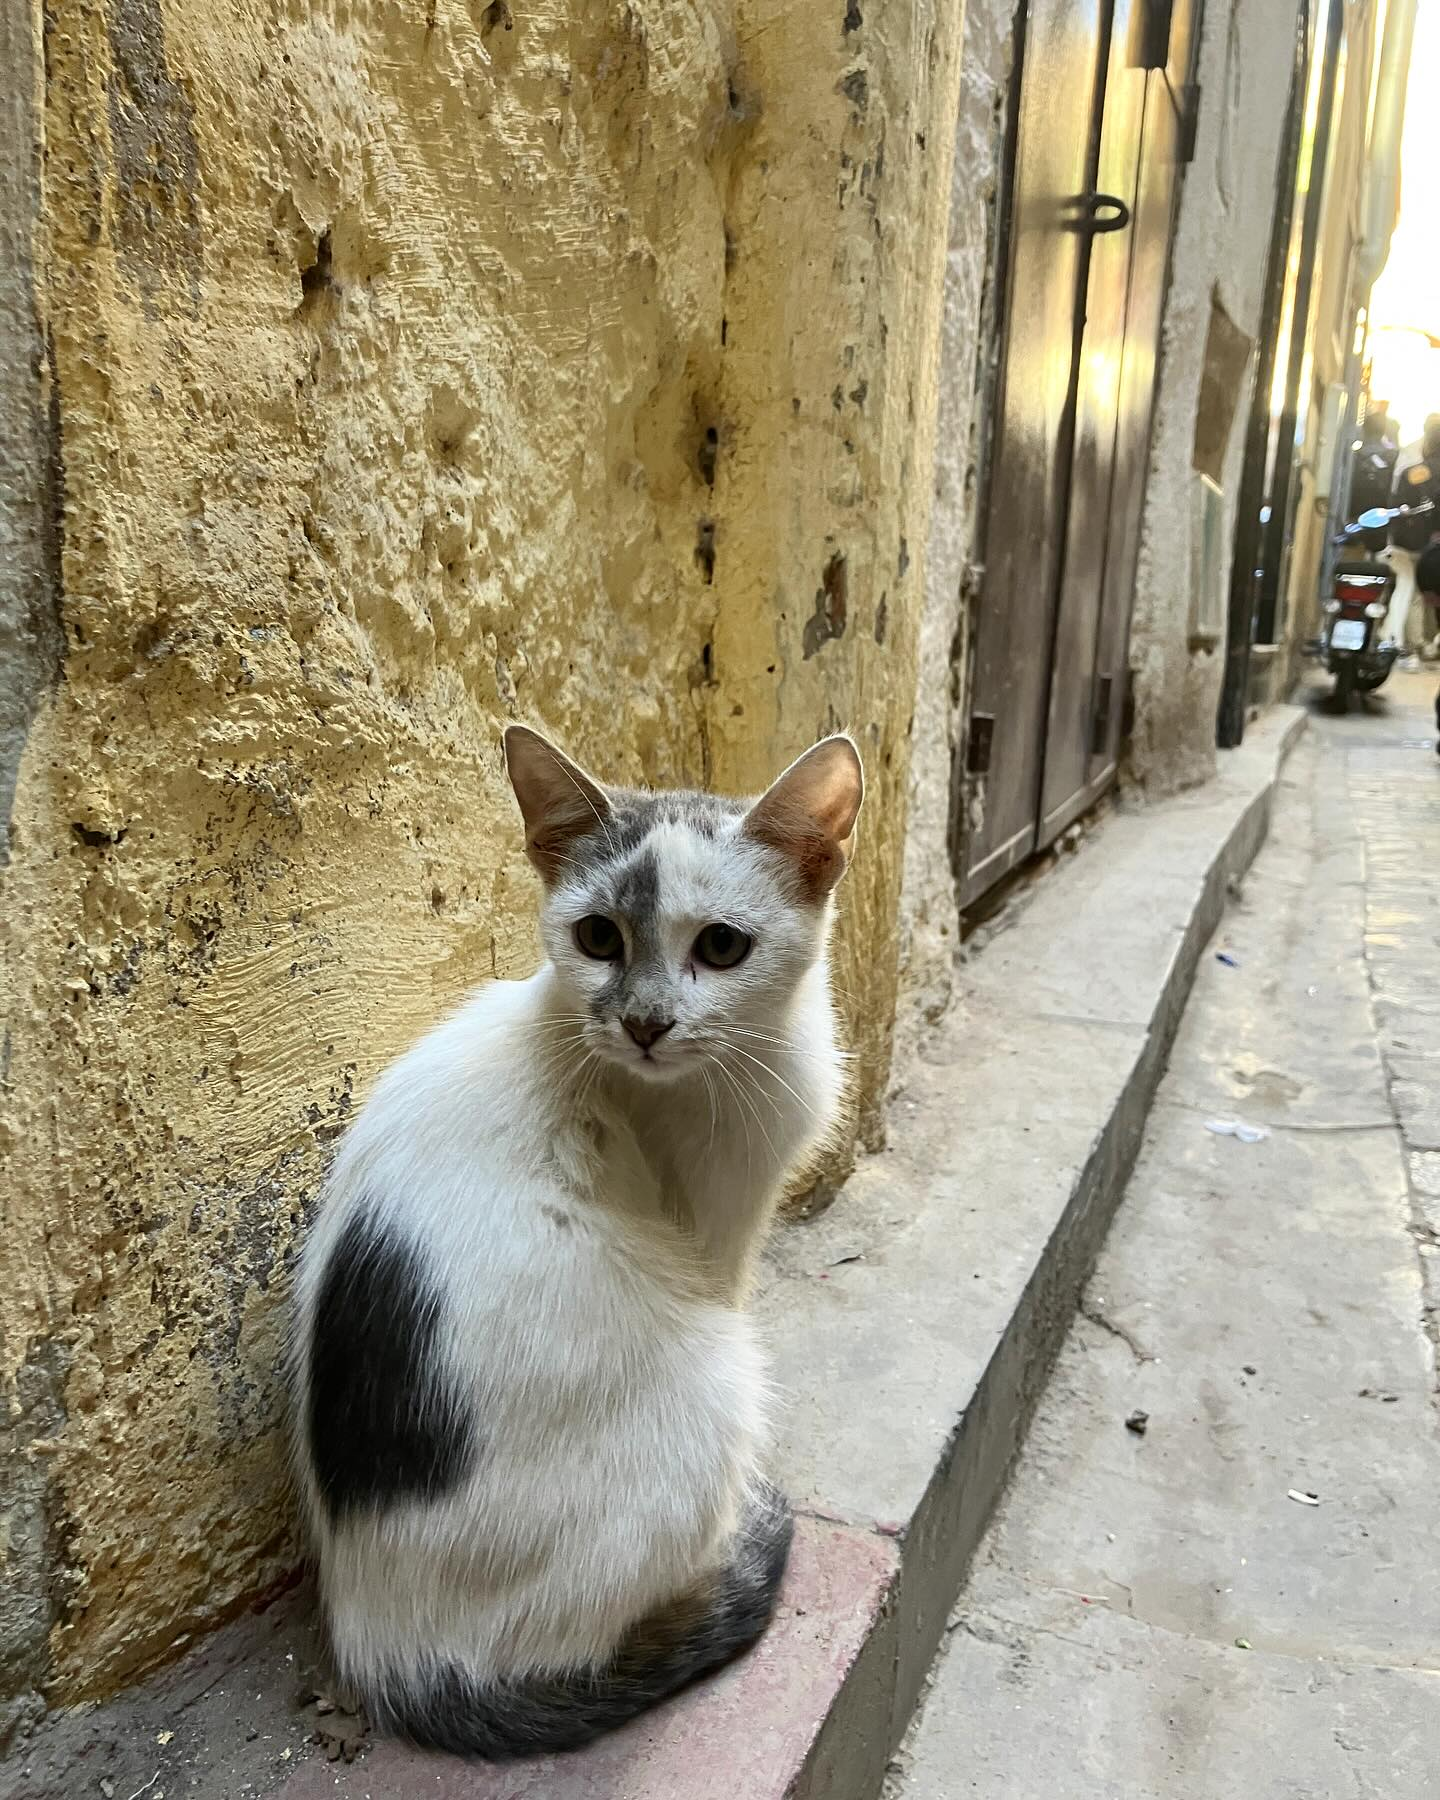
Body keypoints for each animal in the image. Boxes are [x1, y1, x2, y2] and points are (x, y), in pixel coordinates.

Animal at [289, 724, 863, 1758]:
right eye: (599, 938)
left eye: (722, 947)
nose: (644, 1023)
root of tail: (387, 1649)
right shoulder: (716, 1221)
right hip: (710, 1380)